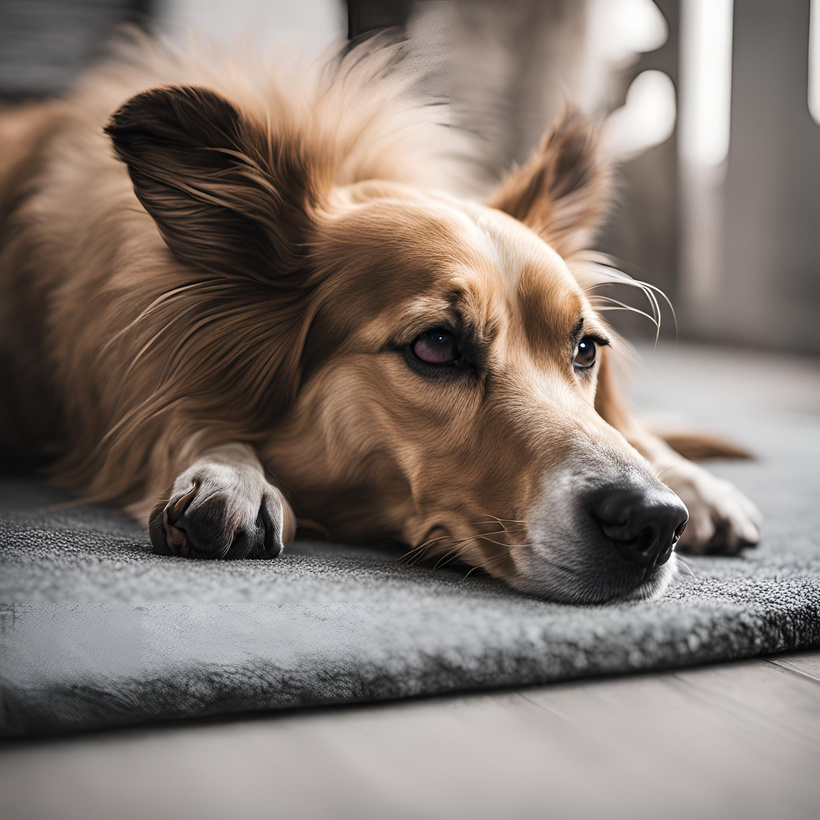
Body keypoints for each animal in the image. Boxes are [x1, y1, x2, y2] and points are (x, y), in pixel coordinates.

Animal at [0, 33, 764, 604]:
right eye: (436, 346)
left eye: (584, 350)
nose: (655, 522)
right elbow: (179, 414)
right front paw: (226, 470)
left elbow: (628, 427)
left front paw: (691, 481)